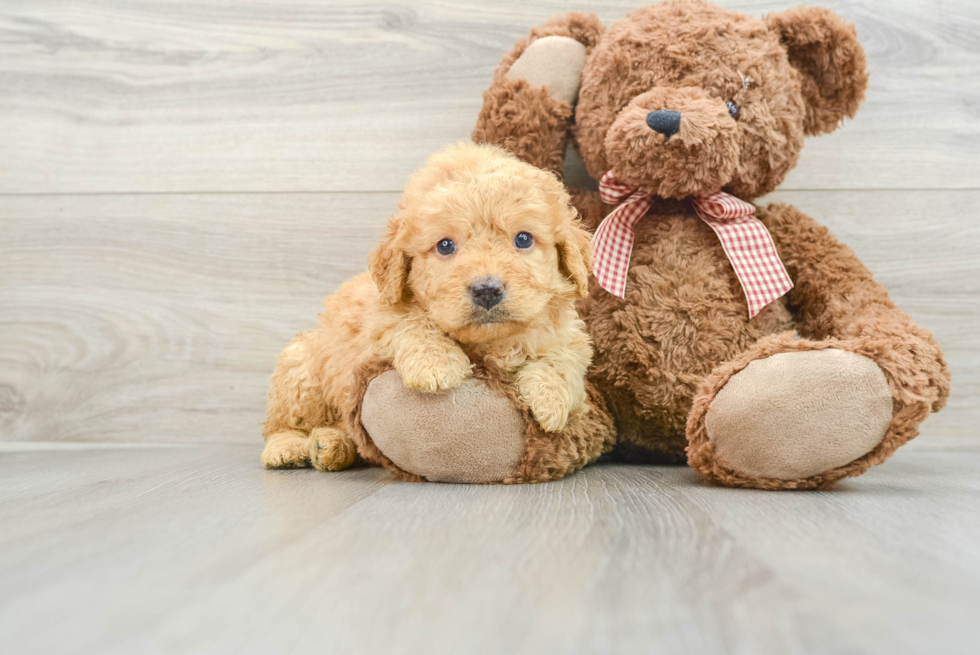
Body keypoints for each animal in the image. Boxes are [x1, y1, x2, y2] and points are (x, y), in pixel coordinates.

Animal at [260, 144, 592, 472]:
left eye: (523, 239)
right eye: (445, 245)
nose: (487, 290)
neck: (490, 342)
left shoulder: (570, 336)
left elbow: (565, 357)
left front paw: (550, 399)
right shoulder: (377, 320)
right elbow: (409, 321)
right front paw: (437, 364)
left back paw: (331, 446)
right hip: (301, 372)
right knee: (282, 423)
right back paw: (290, 448)